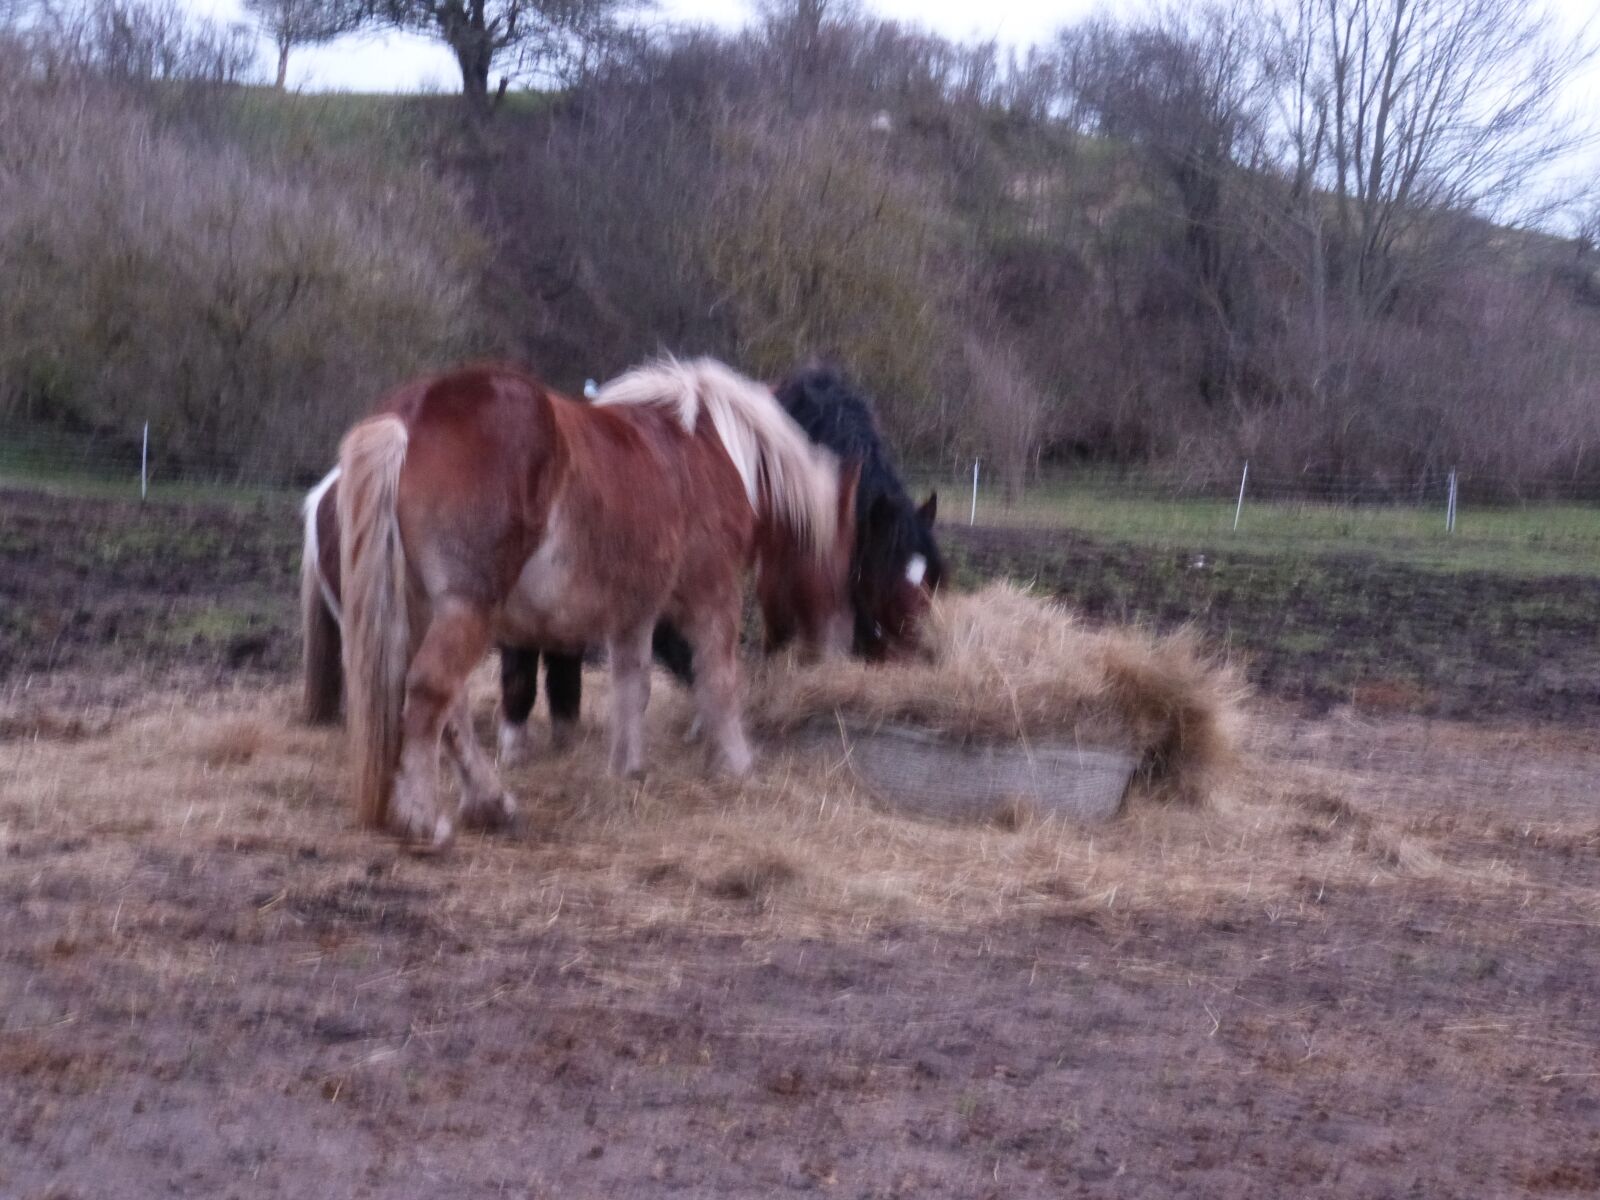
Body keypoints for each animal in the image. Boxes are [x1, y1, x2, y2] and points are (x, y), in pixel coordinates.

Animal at [305, 355, 844, 844]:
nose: (825, 634)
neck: (710, 451)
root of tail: (409, 416)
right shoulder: (712, 597)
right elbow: (720, 681)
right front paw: (736, 764)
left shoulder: (634, 613)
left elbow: (633, 686)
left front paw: (628, 768)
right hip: (466, 608)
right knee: (430, 694)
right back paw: (424, 819)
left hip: (420, 615)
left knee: (450, 710)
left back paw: (490, 805)